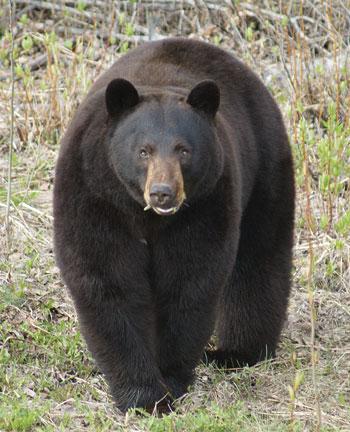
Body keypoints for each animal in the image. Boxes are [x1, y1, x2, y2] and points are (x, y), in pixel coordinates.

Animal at [54, 38, 296, 414]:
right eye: (144, 150)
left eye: (183, 150)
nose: (163, 192)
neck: (145, 215)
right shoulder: (95, 195)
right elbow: (109, 281)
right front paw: (143, 394)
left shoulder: (206, 202)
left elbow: (189, 281)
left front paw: (169, 380)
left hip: (263, 163)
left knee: (259, 258)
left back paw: (237, 353)